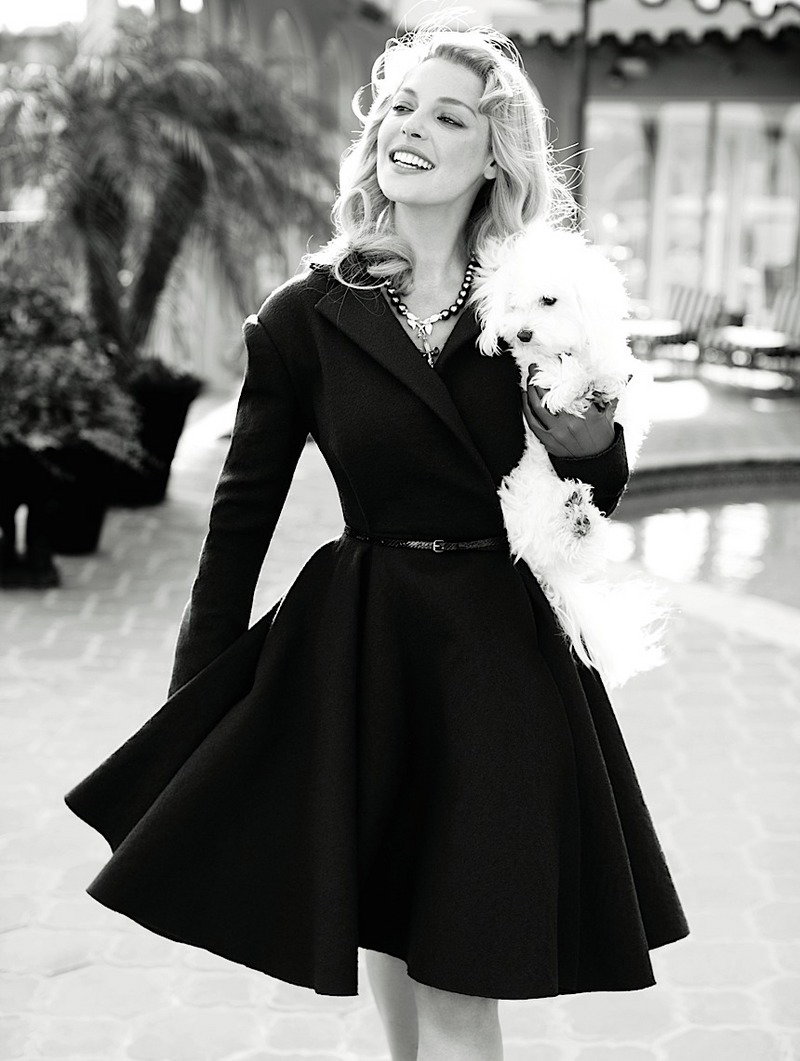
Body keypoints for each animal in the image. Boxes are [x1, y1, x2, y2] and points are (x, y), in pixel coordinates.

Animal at [469, 219, 670, 689]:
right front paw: (564, 385)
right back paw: (573, 516)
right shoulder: (534, 375)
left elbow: (605, 376)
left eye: (549, 300)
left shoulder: (623, 374)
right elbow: (550, 374)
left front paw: (579, 382)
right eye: (512, 304)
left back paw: (581, 517)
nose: (522, 333)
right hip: (527, 508)